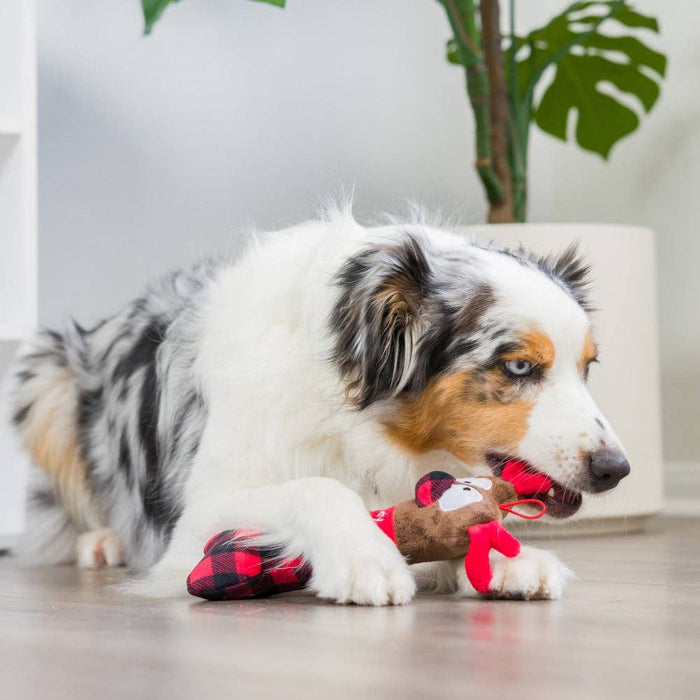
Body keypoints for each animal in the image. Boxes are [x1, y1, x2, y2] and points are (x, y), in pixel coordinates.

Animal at [8, 206, 628, 600]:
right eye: (518, 367)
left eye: (588, 366)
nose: (616, 469)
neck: (358, 424)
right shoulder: (197, 517)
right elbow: (318, 488)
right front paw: (366, 559)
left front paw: (509, 558)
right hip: (44, 375)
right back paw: (101, 541)